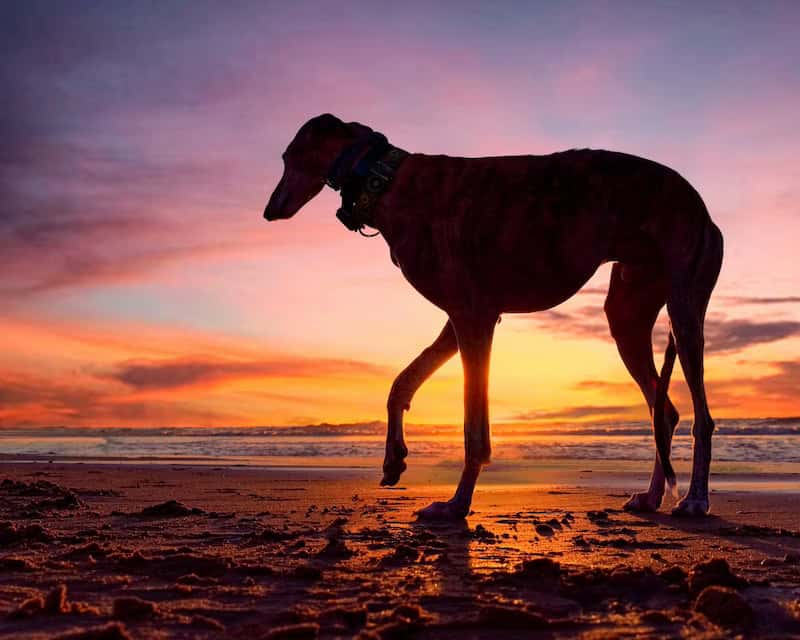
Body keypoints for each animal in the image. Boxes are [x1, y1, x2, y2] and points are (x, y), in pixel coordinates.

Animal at [264, 114, 724, 520]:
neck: (389, 179)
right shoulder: (461, 319)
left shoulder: (474, 318)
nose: (269, 211)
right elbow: (401, 383)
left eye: (286, 156)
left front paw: (455, 505)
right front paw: (394, 460)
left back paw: (695, 500)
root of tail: (702, 207)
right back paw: (651, 497)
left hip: (684, 310)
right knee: (664, 410)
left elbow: (474, 429)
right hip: (627, 315)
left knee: (702, 415)